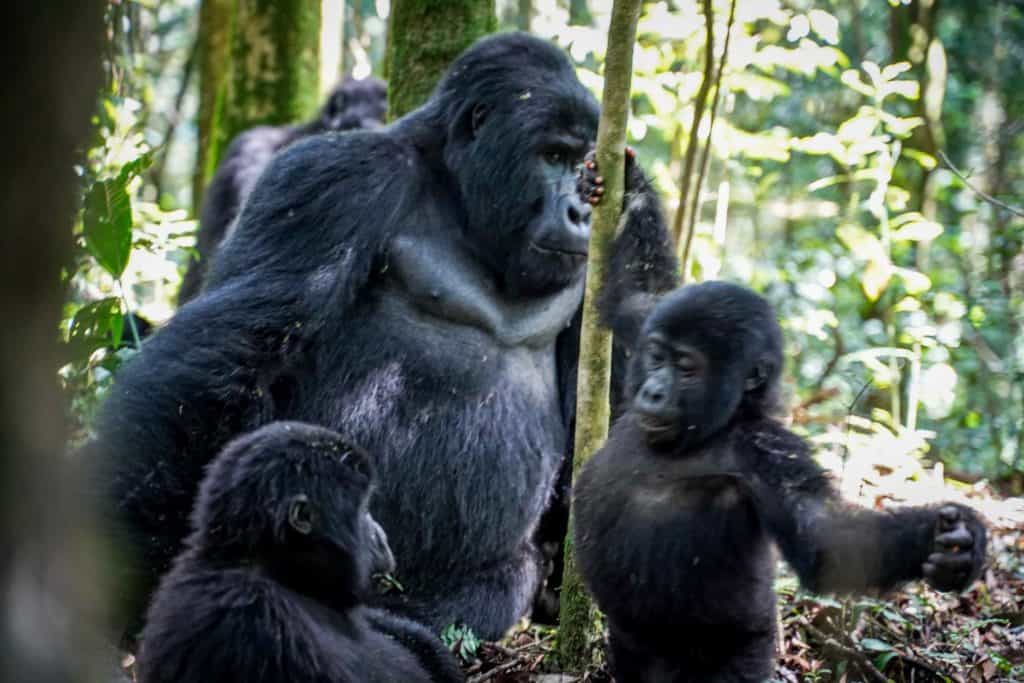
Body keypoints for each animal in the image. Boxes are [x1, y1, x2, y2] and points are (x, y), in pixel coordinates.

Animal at [573, 282, 987, 683]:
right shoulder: (647, 318)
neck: (717, 428)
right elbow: (632, 294)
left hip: (741, 646)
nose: (653, 391)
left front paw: (952, 544)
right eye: (656, 357)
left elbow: (826, 537)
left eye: (686, 368)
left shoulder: (767, 452)